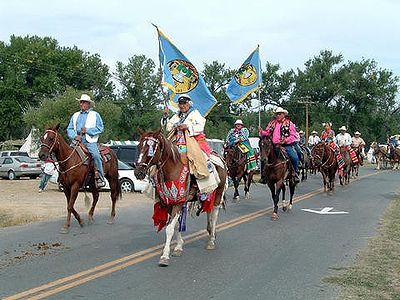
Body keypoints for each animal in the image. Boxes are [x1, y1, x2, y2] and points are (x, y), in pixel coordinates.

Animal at [134, 129, 228, 268]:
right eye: (139, 146)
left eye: (151, 149)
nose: (138, 172)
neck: (173, 168)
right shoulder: (169, 203)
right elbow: (176, 226)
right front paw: (178, 247)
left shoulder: (178, 202)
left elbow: (169, 229)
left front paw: (164, 256)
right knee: (209, 212)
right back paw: (211, 232)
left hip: (219, 192)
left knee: (214, 214)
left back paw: (211, 241)